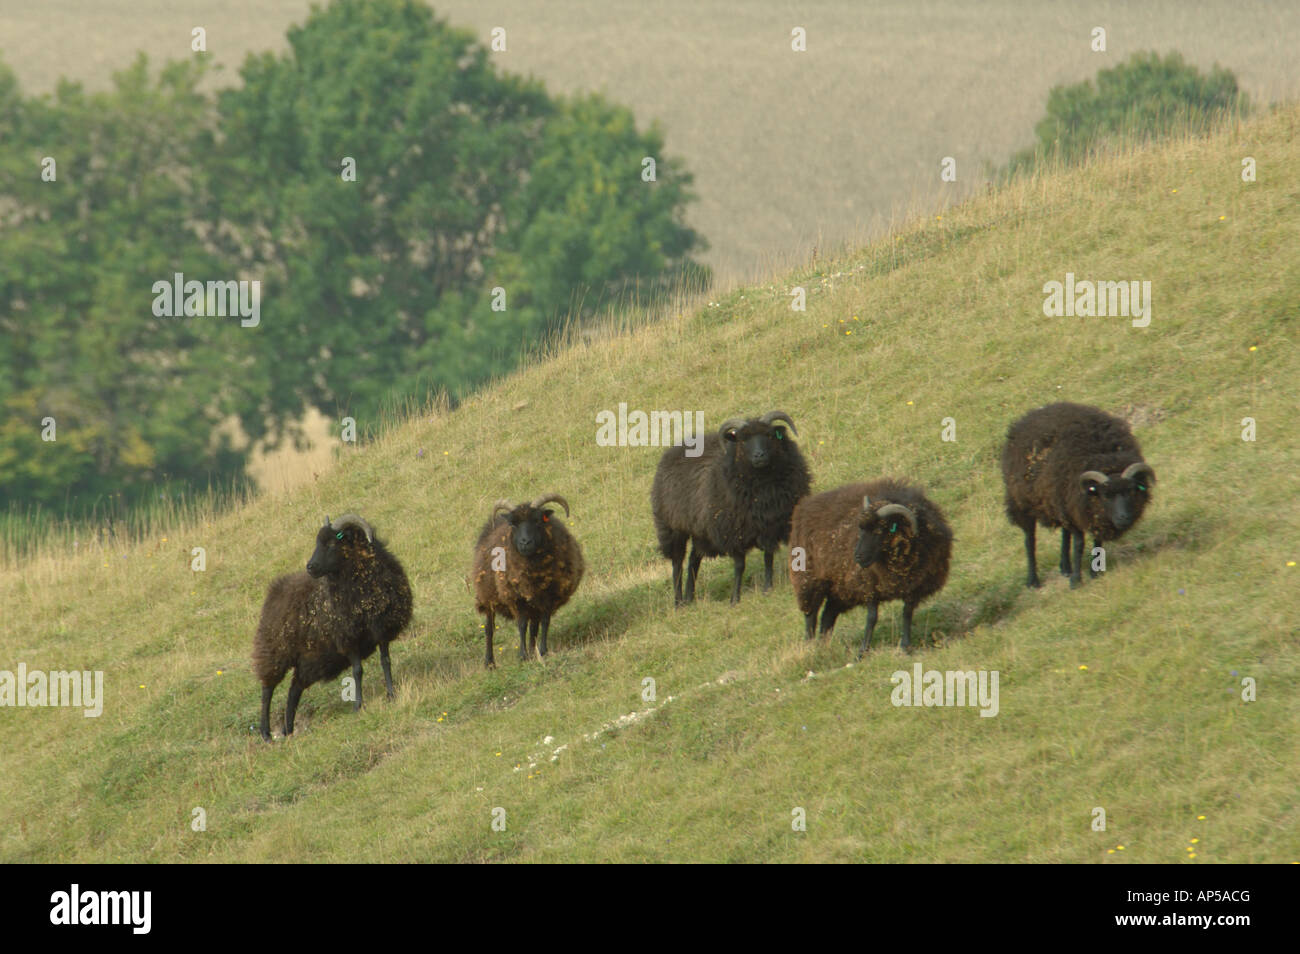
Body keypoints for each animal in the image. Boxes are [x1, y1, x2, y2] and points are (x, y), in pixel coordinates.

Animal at [251, 514, 412, 741]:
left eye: (331, 543)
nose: (310, 567)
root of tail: (275, 590)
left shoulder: (381, 630)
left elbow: (385, 662)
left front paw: (391, 693)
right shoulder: (349, 638)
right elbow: (357, 671)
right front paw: (358, 706)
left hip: (309, 660)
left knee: (294, 690)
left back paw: (288, 729)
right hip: (274, 650)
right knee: (267, 689)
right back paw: (265, 732)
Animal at [471, 493, 584, 668]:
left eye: (538, 520)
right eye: (513, 524)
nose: (525, 542)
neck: (533, 570)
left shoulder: (549, 595)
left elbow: (544, 623)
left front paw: (542, 651)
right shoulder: (517, 598)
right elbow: (522, 625)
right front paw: (522, 655)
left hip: (534, 604)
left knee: (534, 627)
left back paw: (533, 650)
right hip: (488, 597)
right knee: (489, 629)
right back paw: (489, 662)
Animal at [651, 410, 812, 605]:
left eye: (769, 435)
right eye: (743, 440)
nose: (759, 455)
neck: (763, 487)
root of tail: (671, 451)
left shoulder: (771, 525)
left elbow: (768, 557)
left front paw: (768, 588)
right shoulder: (734, 531)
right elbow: (740, 566)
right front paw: (735, 598)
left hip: (701, 531)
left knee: (693, 561)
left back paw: (690, 598)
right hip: (672, 528)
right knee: (677, 565)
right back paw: (678, 602)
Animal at [790, 479, 952, 656]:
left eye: (879, 530)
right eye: (860, 529)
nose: (857, 557)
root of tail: (805, 505)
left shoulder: (914, 586)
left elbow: (907, 614)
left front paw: (905, 647)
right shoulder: (869, 586)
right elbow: (872, 618)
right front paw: (862, 652)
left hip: (840, 587)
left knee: (827, 616)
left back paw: (824, 645)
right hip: (809, 578)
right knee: (810, 614)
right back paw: (810, 646)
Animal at [1001, 402, 1156, 588]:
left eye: (1132, 491)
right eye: (1106, 495)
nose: (1123, 518)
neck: (1106, 457)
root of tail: (1027, 417)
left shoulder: (1085, 511)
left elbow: (1096, 541)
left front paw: (1095, 573)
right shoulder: (1079, 508)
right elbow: (1079, 544)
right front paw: (1076, 580)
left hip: (1059, 502)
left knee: (1064, 534)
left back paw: (1065, 567)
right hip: (1023, 503)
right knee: (1030, 540)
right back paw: (1033, 580)